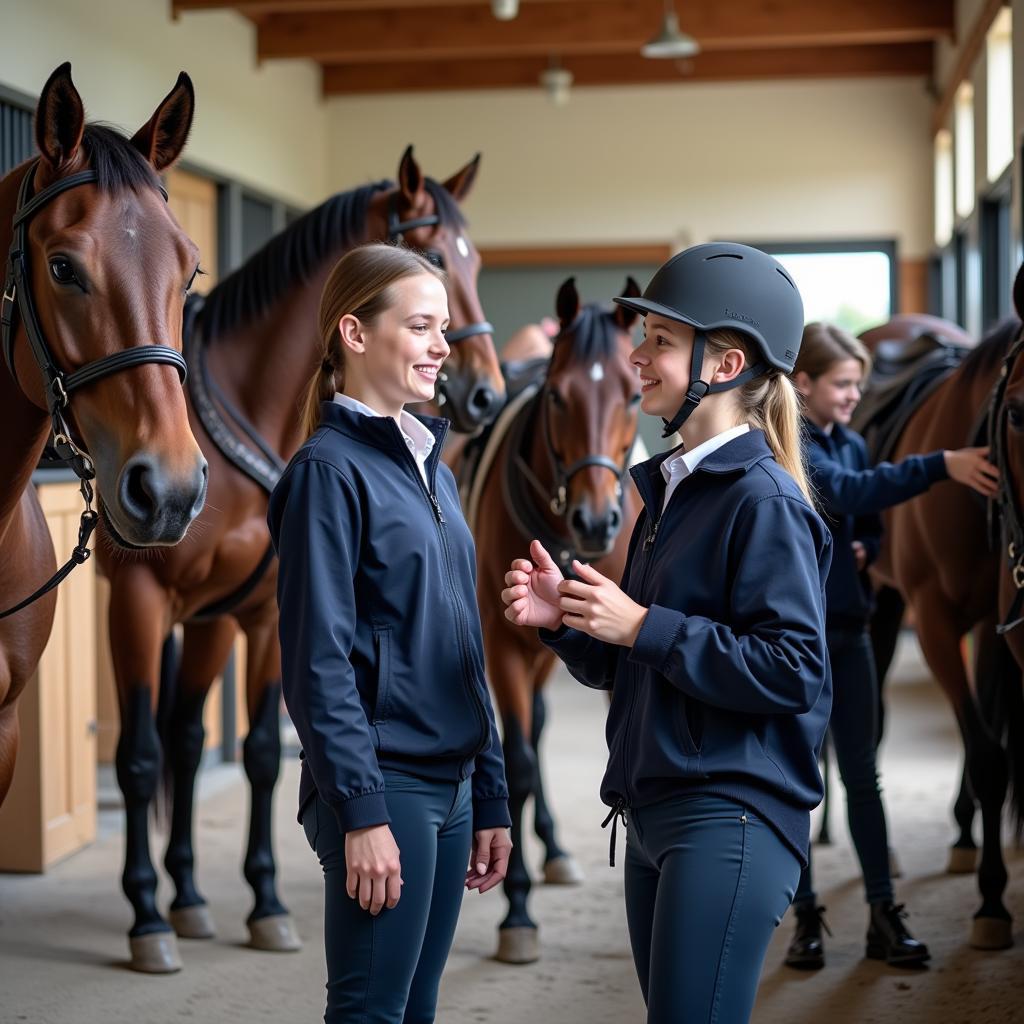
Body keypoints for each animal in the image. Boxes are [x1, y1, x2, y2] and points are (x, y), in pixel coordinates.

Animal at [97, 148, 505, 970]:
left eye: (475, 260)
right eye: (431, 255)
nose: (484, 393)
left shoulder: (260, 613)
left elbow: (255, 752)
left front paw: (264, 904)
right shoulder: (142, 596)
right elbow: (138, 758)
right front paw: (145, 916)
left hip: (211, 618)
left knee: (189, 739)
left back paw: (190, 896)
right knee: (154, 747)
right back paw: (162, 905)